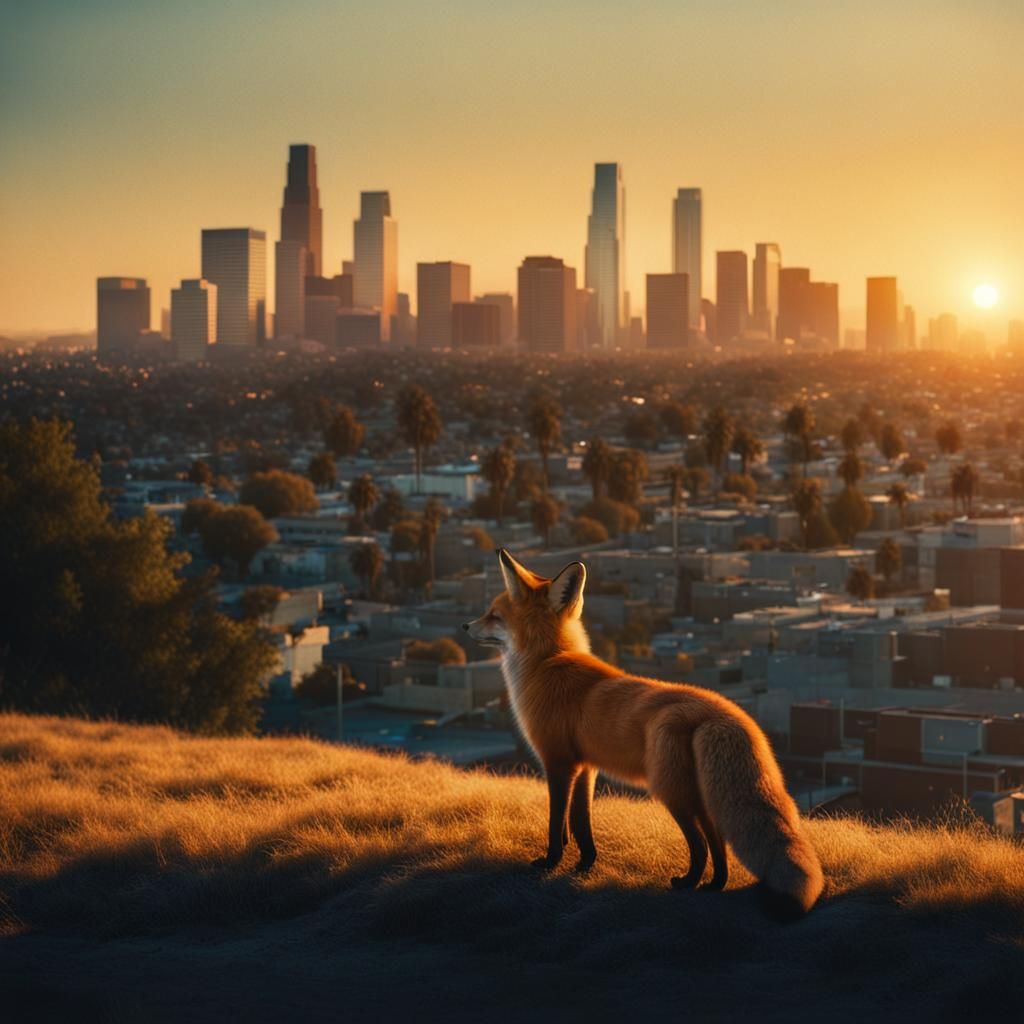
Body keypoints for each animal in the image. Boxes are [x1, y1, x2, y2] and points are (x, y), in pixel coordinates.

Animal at [463, 548, 824, 917]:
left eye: (493, 615)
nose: (465, 626)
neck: (549, 661)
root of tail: (722, 714)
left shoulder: (559, 763)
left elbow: (555, 821)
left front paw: (551, 862)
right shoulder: (585, 767)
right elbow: (579, 823)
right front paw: (584, 865)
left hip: (670, 791)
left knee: (699, 842)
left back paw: (687, 882)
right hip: (694, 794)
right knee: (716, 838)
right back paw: (715, 885)